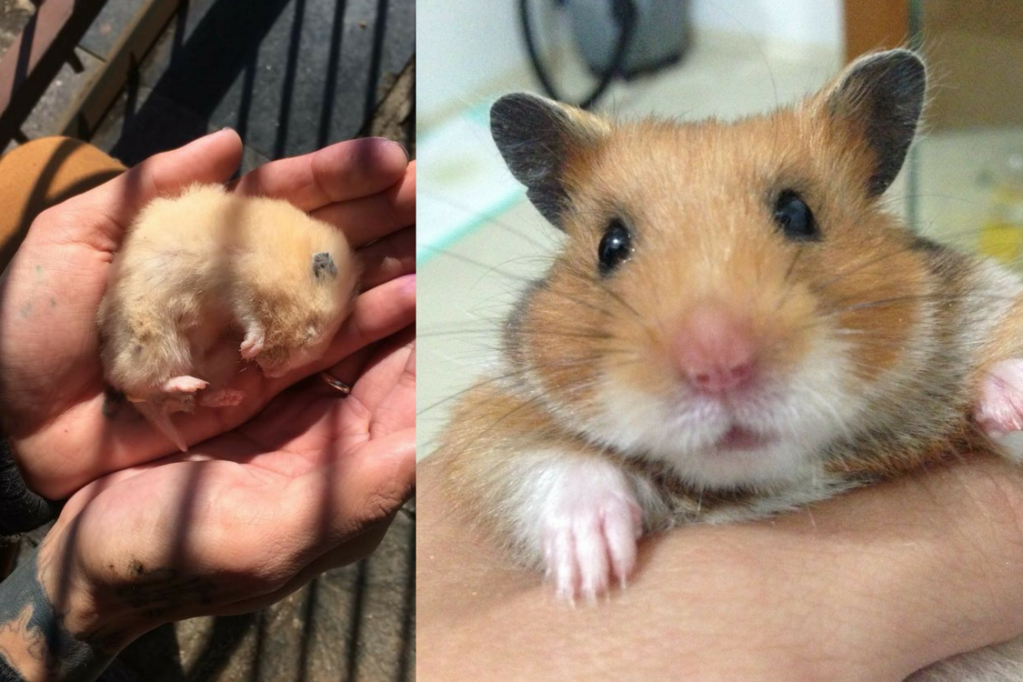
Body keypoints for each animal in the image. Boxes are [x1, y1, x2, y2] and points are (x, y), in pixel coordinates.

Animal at [98, 183, 357, 451]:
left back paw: (223, 396)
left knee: (181, 400)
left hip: (217, 360)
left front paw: (247, 352)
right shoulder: (238, 288)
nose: (271, 374)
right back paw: (191, 385)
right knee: (141, 387)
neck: (280, 258)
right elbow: (251, 320)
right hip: (154, 341)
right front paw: (250, 348)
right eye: (310, 330)